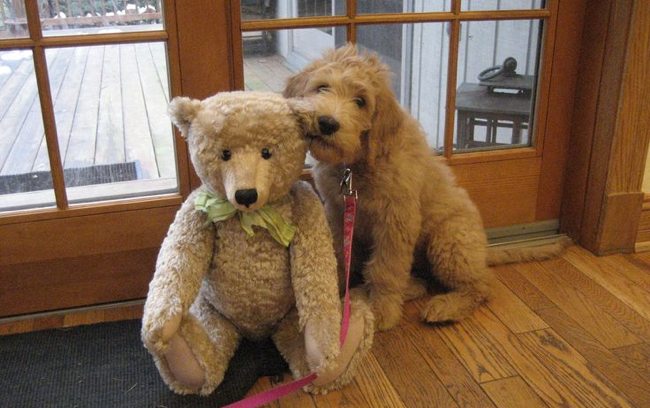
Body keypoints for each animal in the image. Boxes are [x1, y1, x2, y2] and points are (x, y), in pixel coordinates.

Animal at [284, 45, 496, 332]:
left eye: (360, 101)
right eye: (322, 87)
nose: (327, 123)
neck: (356, 167)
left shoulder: (395, 222)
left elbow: (385, 269)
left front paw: (381, 309)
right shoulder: (337, 211)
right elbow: (339, 252)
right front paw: (334, 285)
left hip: (450, 241)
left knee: (482, 285)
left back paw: (446, 306)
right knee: (426, 280)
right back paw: (411, 288)